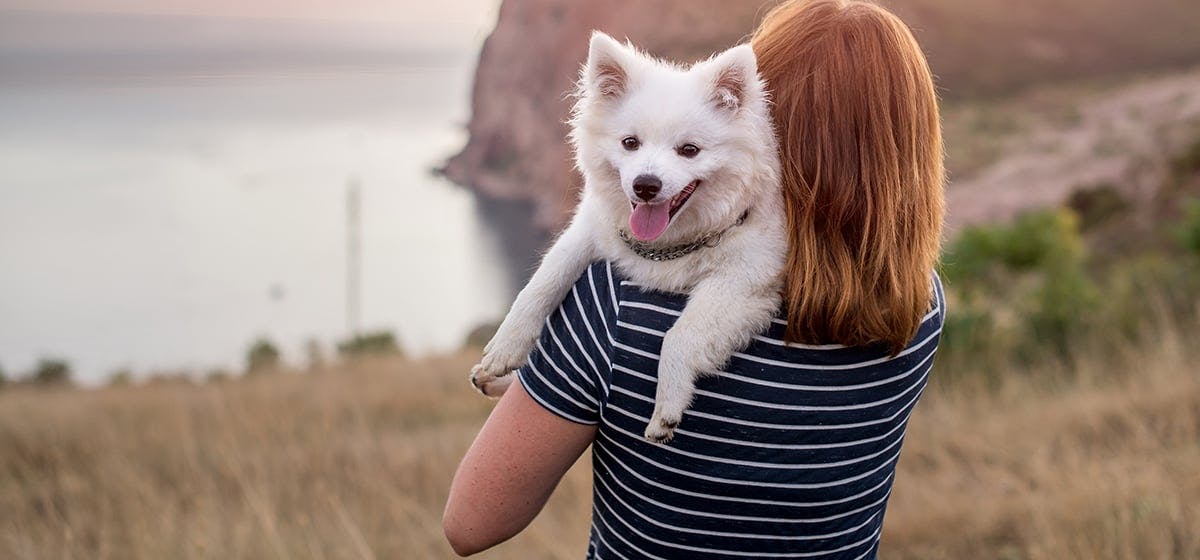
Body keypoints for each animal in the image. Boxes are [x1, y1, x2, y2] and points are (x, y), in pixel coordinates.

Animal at [468, 30, 787, 446]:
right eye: (630, 143)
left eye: (689, 150)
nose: (645, 185)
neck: (669, 244)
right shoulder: (590, 228)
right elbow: (542, 281)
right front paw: (505, 347)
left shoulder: (746, 279)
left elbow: (680, 335)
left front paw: (668, 404)